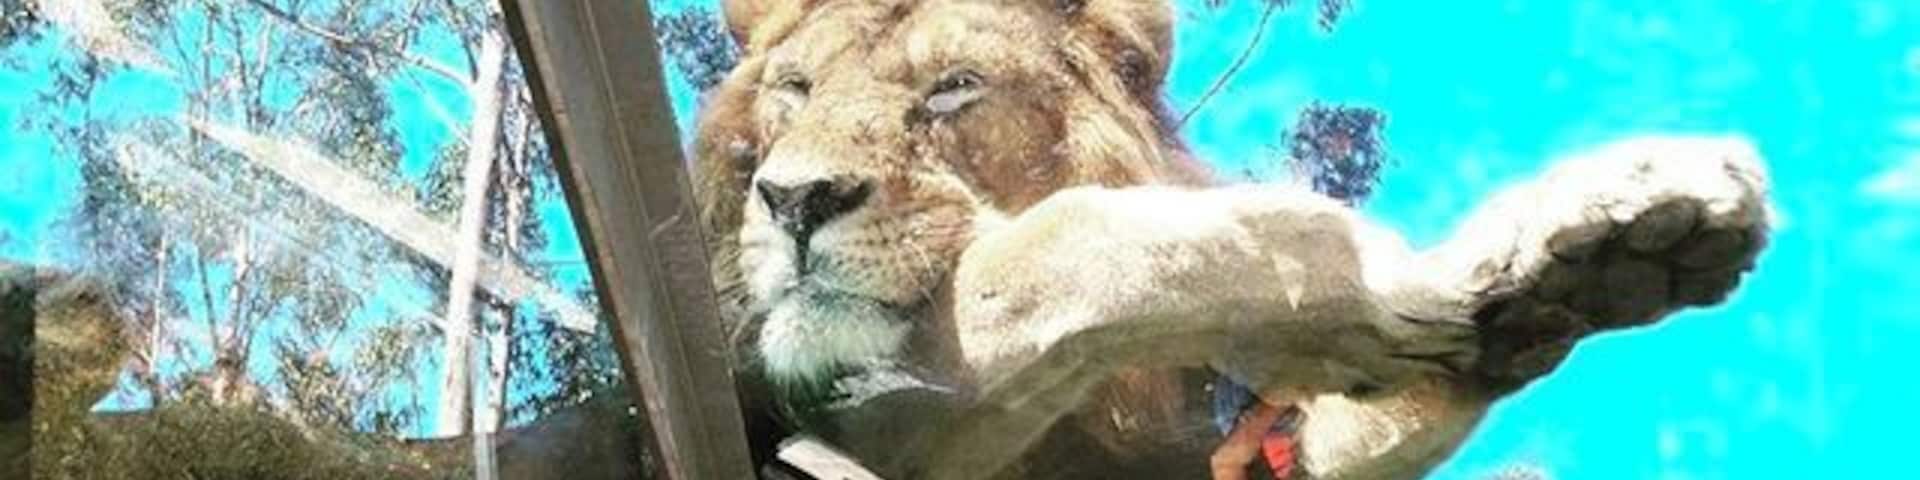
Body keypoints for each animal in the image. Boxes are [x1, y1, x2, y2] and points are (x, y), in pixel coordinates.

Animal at [687, 0, 1774, 479]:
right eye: (796, 89)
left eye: (954, 88)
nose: (795, 199)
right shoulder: (849, 405)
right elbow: (1074, 240)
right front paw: (1387, 284)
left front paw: (1589, 248)